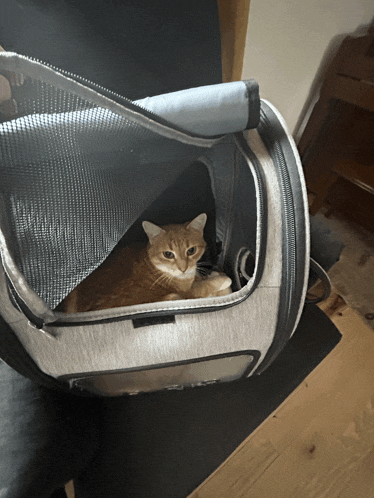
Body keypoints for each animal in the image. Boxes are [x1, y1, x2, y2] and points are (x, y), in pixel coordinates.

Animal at [58, 213, 231, 314]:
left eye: (191, 250)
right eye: (168, 254)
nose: (183, 268)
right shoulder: (184, 294)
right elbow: (205, 286)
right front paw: (223, 279)